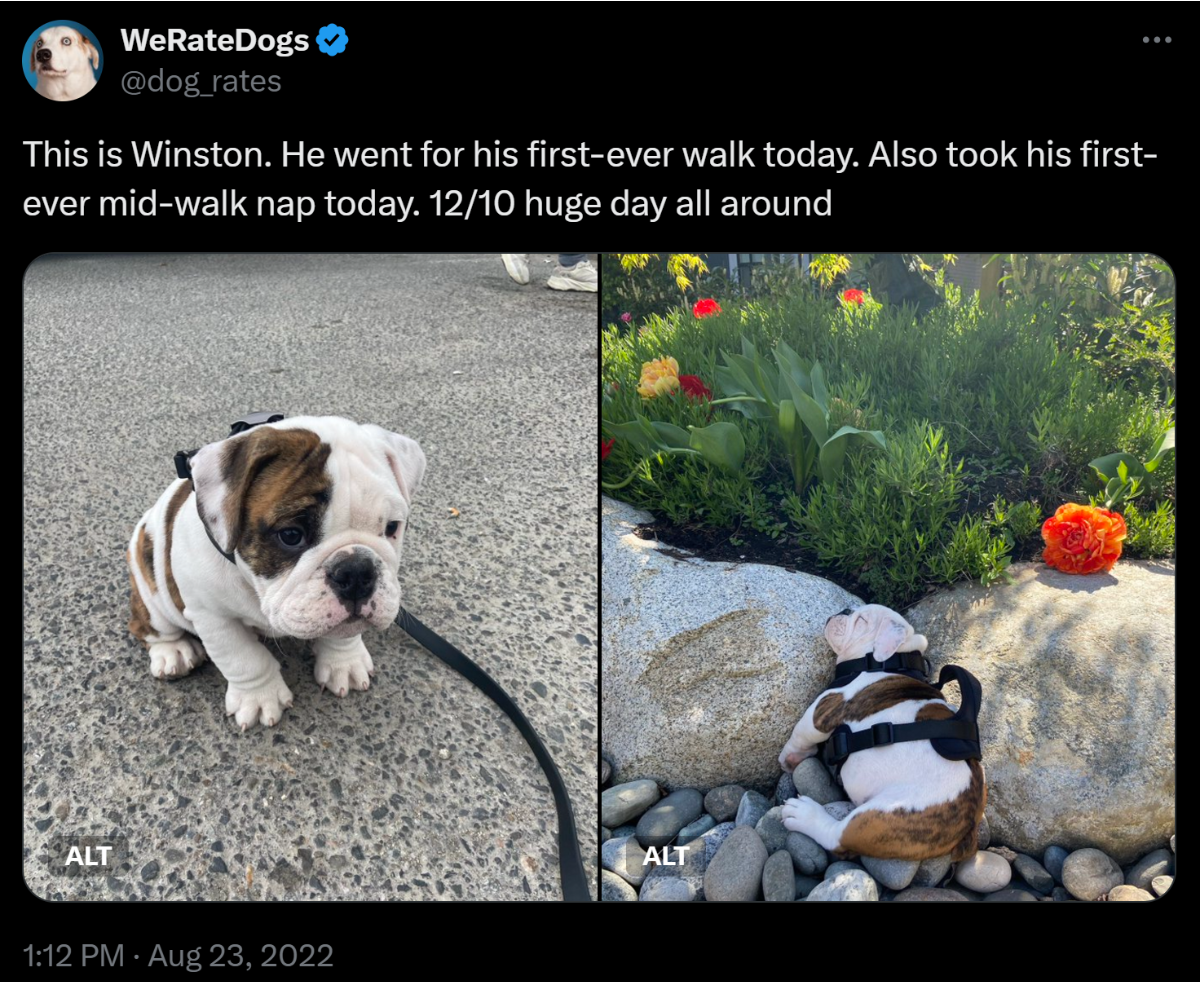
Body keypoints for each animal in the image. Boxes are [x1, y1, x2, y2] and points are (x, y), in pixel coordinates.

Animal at [125, 412, 427, 725]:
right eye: (291, 535)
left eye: (392, 527)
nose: (356, 572)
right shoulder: (214, 617)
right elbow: (244, 658)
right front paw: (259, 698)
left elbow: (345, 633)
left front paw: (345, 662)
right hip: (150, 590)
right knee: (149, 626)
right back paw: (173, 652)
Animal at [777, 600, 984, 859]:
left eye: (861, 620)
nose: (844, 610)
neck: (885, 662)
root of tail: (970, 825)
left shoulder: (825, 706)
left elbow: (801, 733)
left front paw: (789, 758)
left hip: (882, 815)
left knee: (838, 837)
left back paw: (804, 815)